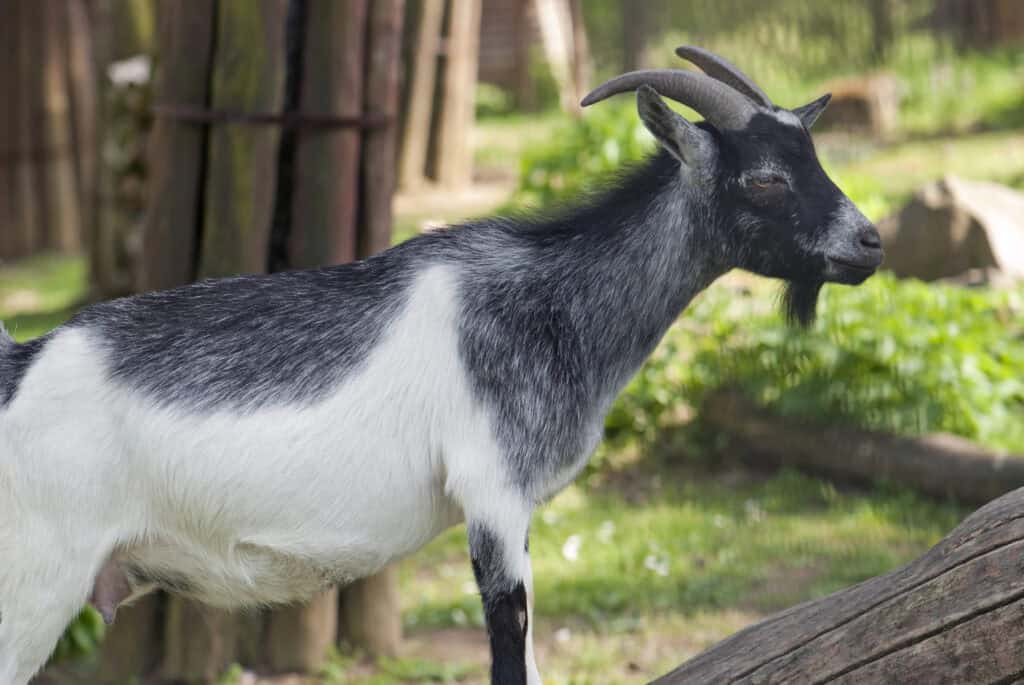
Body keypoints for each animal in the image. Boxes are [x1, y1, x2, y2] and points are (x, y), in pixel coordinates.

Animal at [0, 48, 880, 683]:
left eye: (815, 156)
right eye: (765, 178)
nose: (870, 242)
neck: (547, 298)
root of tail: (21, 365)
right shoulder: (490, 490)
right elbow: (509, 648)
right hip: (37, 576)